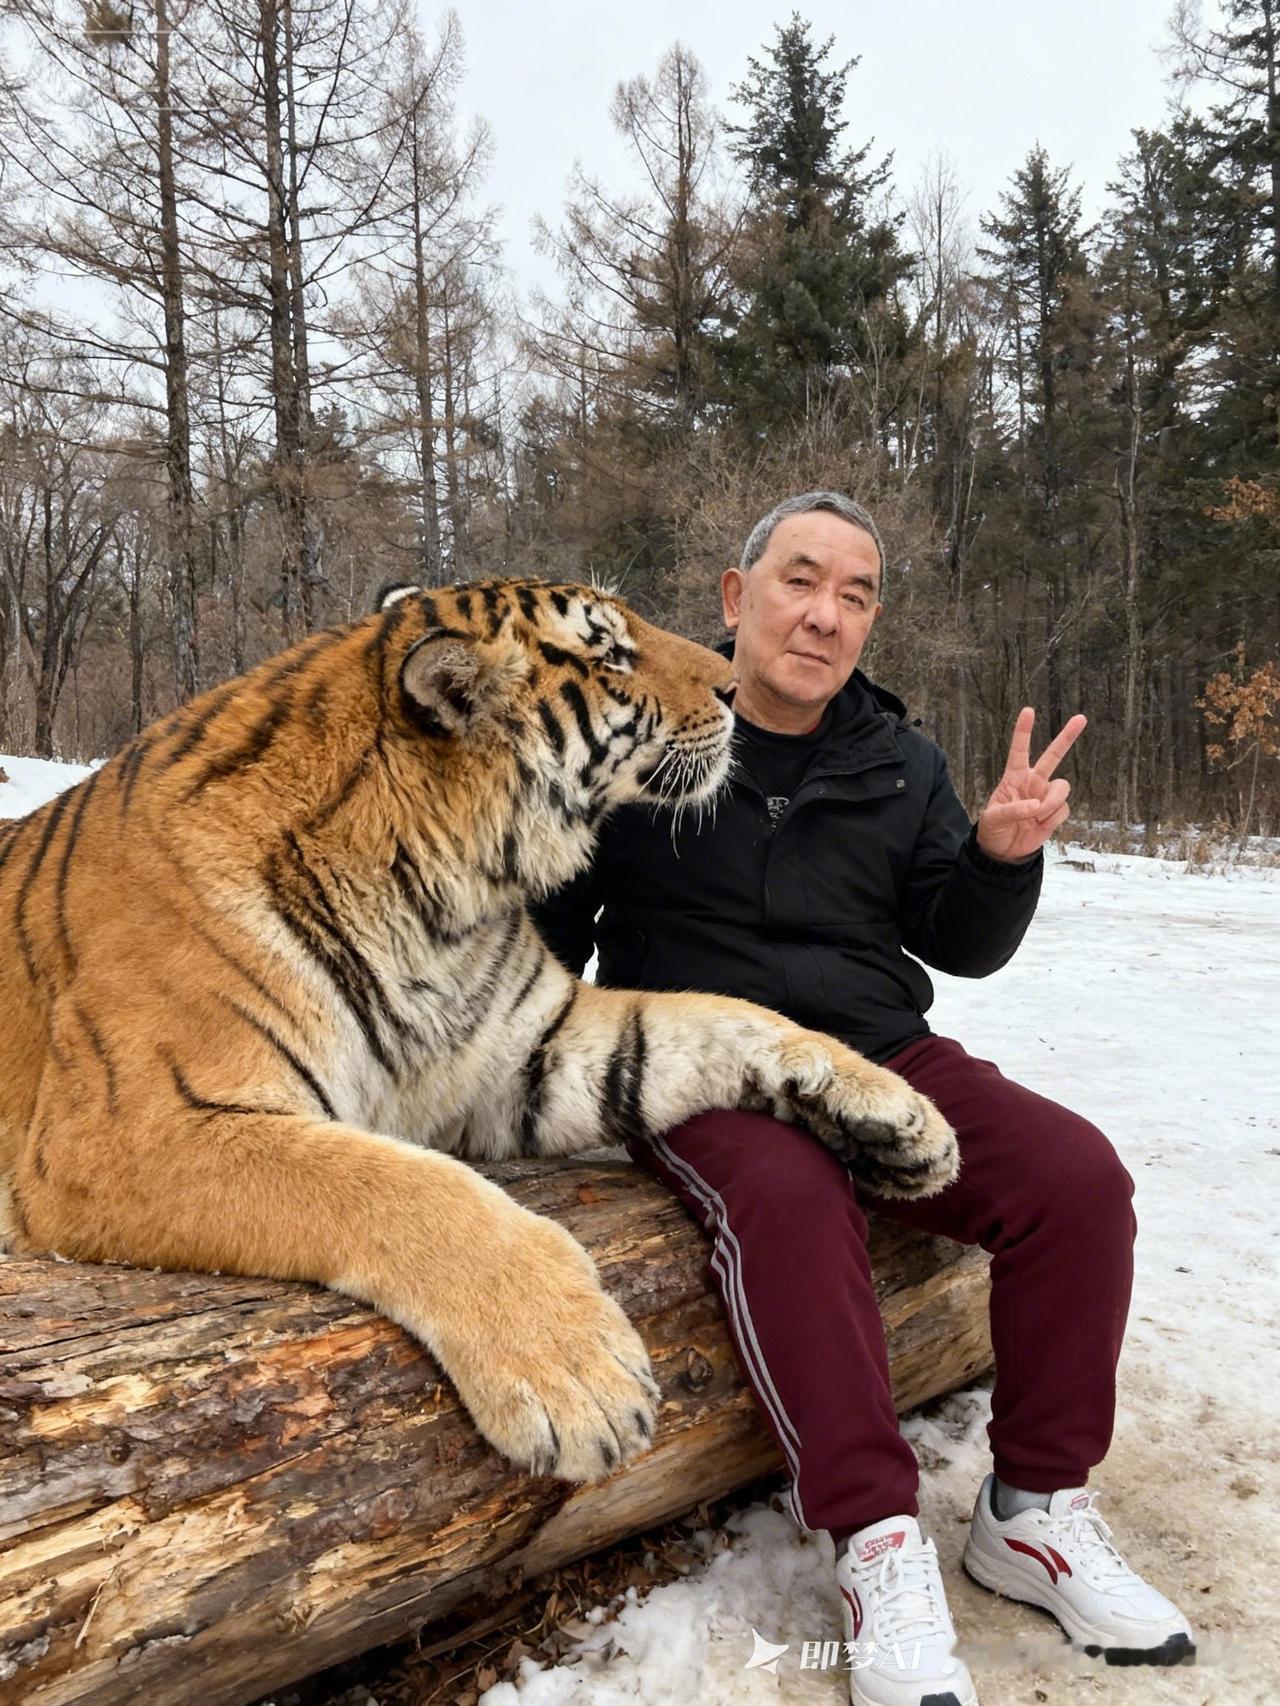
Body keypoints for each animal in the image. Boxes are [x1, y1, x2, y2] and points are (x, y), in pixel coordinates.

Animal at [0, 578, 957, 1483]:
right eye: (610, 654)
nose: (733, 689)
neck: (443, 898)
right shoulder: (128, 1131)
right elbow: (393, 1184)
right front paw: (579, 1379)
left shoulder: (530, 1051)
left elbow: (719, 1018)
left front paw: (898, 1116)